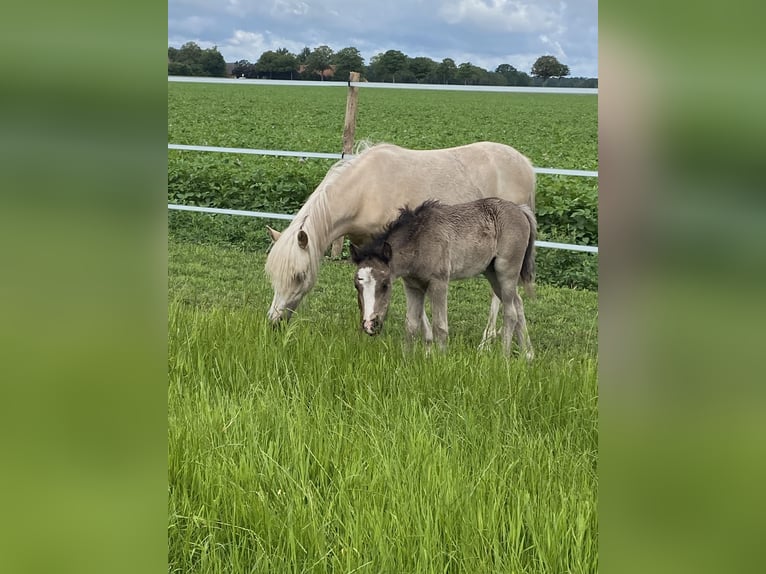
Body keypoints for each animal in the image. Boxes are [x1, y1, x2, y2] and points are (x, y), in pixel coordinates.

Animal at [350, 198, 536, 358]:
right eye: (357, 286)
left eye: (385, 285)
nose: (369, 325)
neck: (419, 241)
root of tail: (521, 210)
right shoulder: (412, 286)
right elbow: (411, 325)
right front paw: (406, 360)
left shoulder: (438, 282)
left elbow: (440, 326)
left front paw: (440, 361)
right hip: (492, 273)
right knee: (518, 303)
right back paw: (526, 356)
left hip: (506, 271)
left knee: (511, 313)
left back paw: (504, 357)